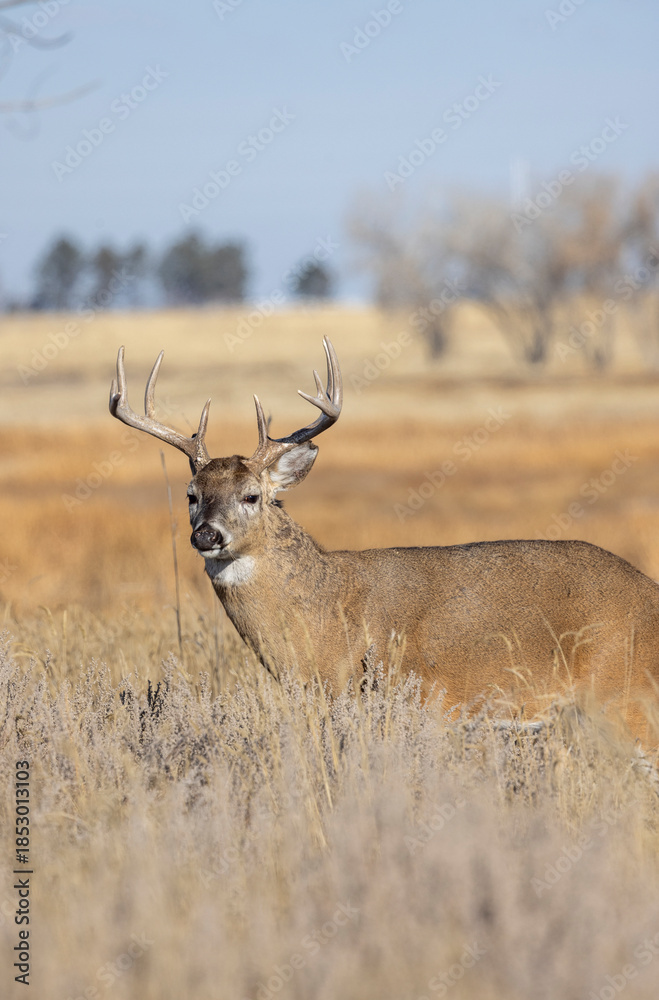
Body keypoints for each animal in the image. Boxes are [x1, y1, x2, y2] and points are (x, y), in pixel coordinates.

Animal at [110, 338, 659, 740]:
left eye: (251, 496)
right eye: (191, 495)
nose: (206, 534)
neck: (326, 617)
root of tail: (649, 593)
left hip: (622, 696)